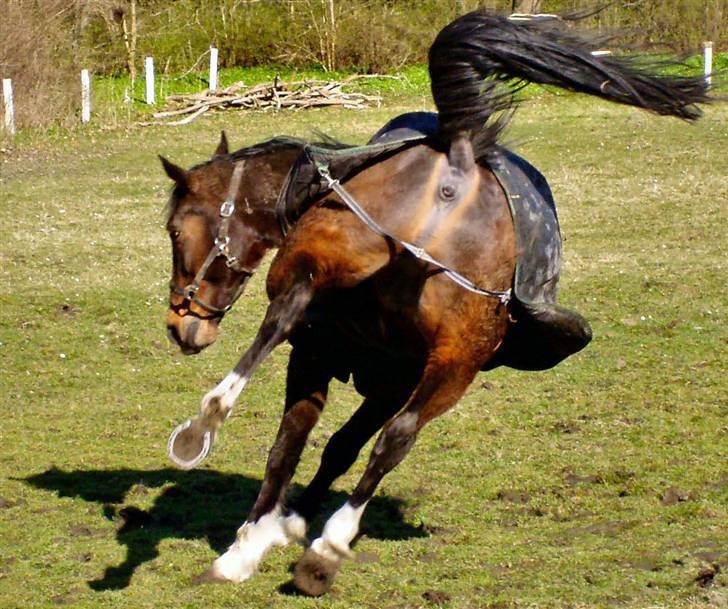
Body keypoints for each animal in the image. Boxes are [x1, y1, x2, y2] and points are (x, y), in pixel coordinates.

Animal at [159, 11, 712, 596]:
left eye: (174, 230)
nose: (180, 325)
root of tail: (459, 161)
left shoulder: (336, 359)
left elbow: (304, 440)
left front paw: (259, 537)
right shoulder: (390, 374)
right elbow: (330, 444)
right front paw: (283, 528)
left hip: (326, 288)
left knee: (286, 324)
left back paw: (208, 432)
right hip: (452, 361)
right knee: (393, 437)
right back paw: (321, 549)